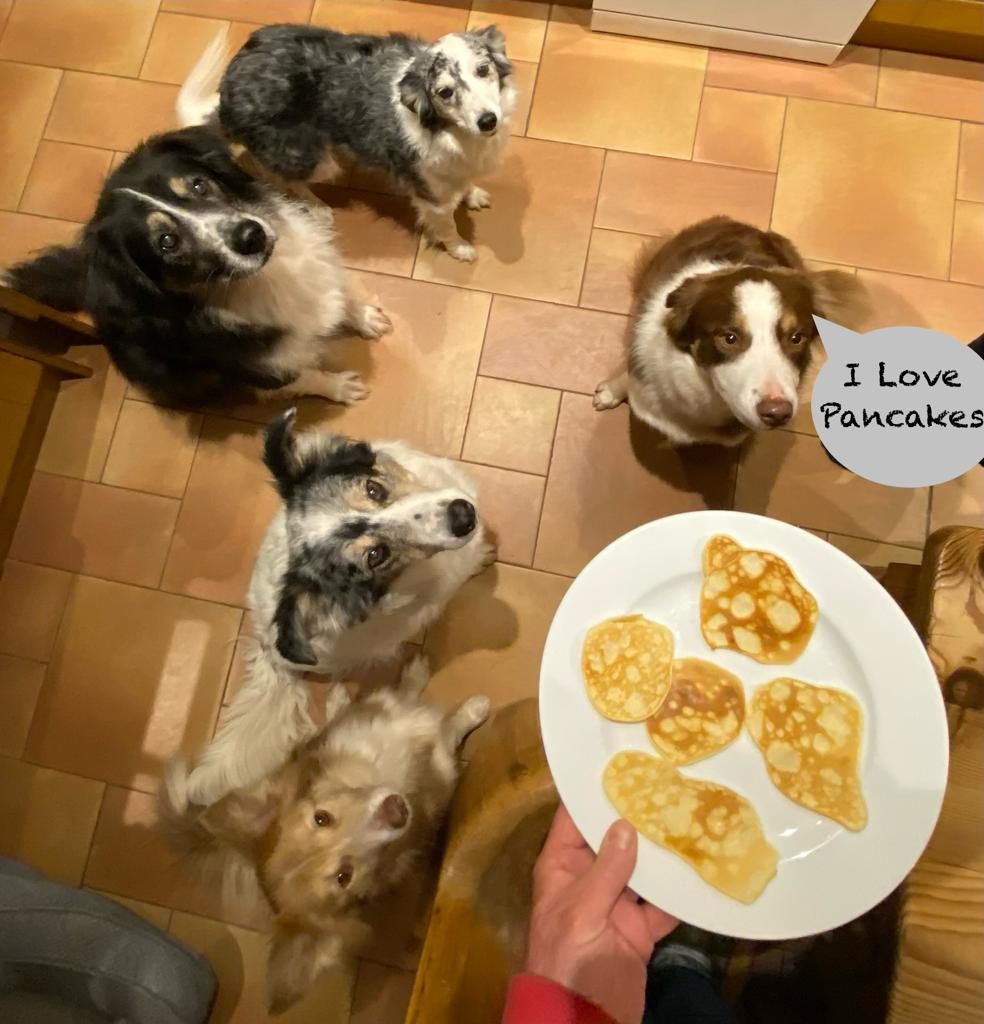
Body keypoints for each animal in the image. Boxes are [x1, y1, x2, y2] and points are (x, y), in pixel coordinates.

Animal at [158, 659, 491, 1011]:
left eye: (322, 818)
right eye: (345, 876)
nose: (395, 810)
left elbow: (413, 705)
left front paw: (426, 683)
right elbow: (449, 730)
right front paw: (472, 709)